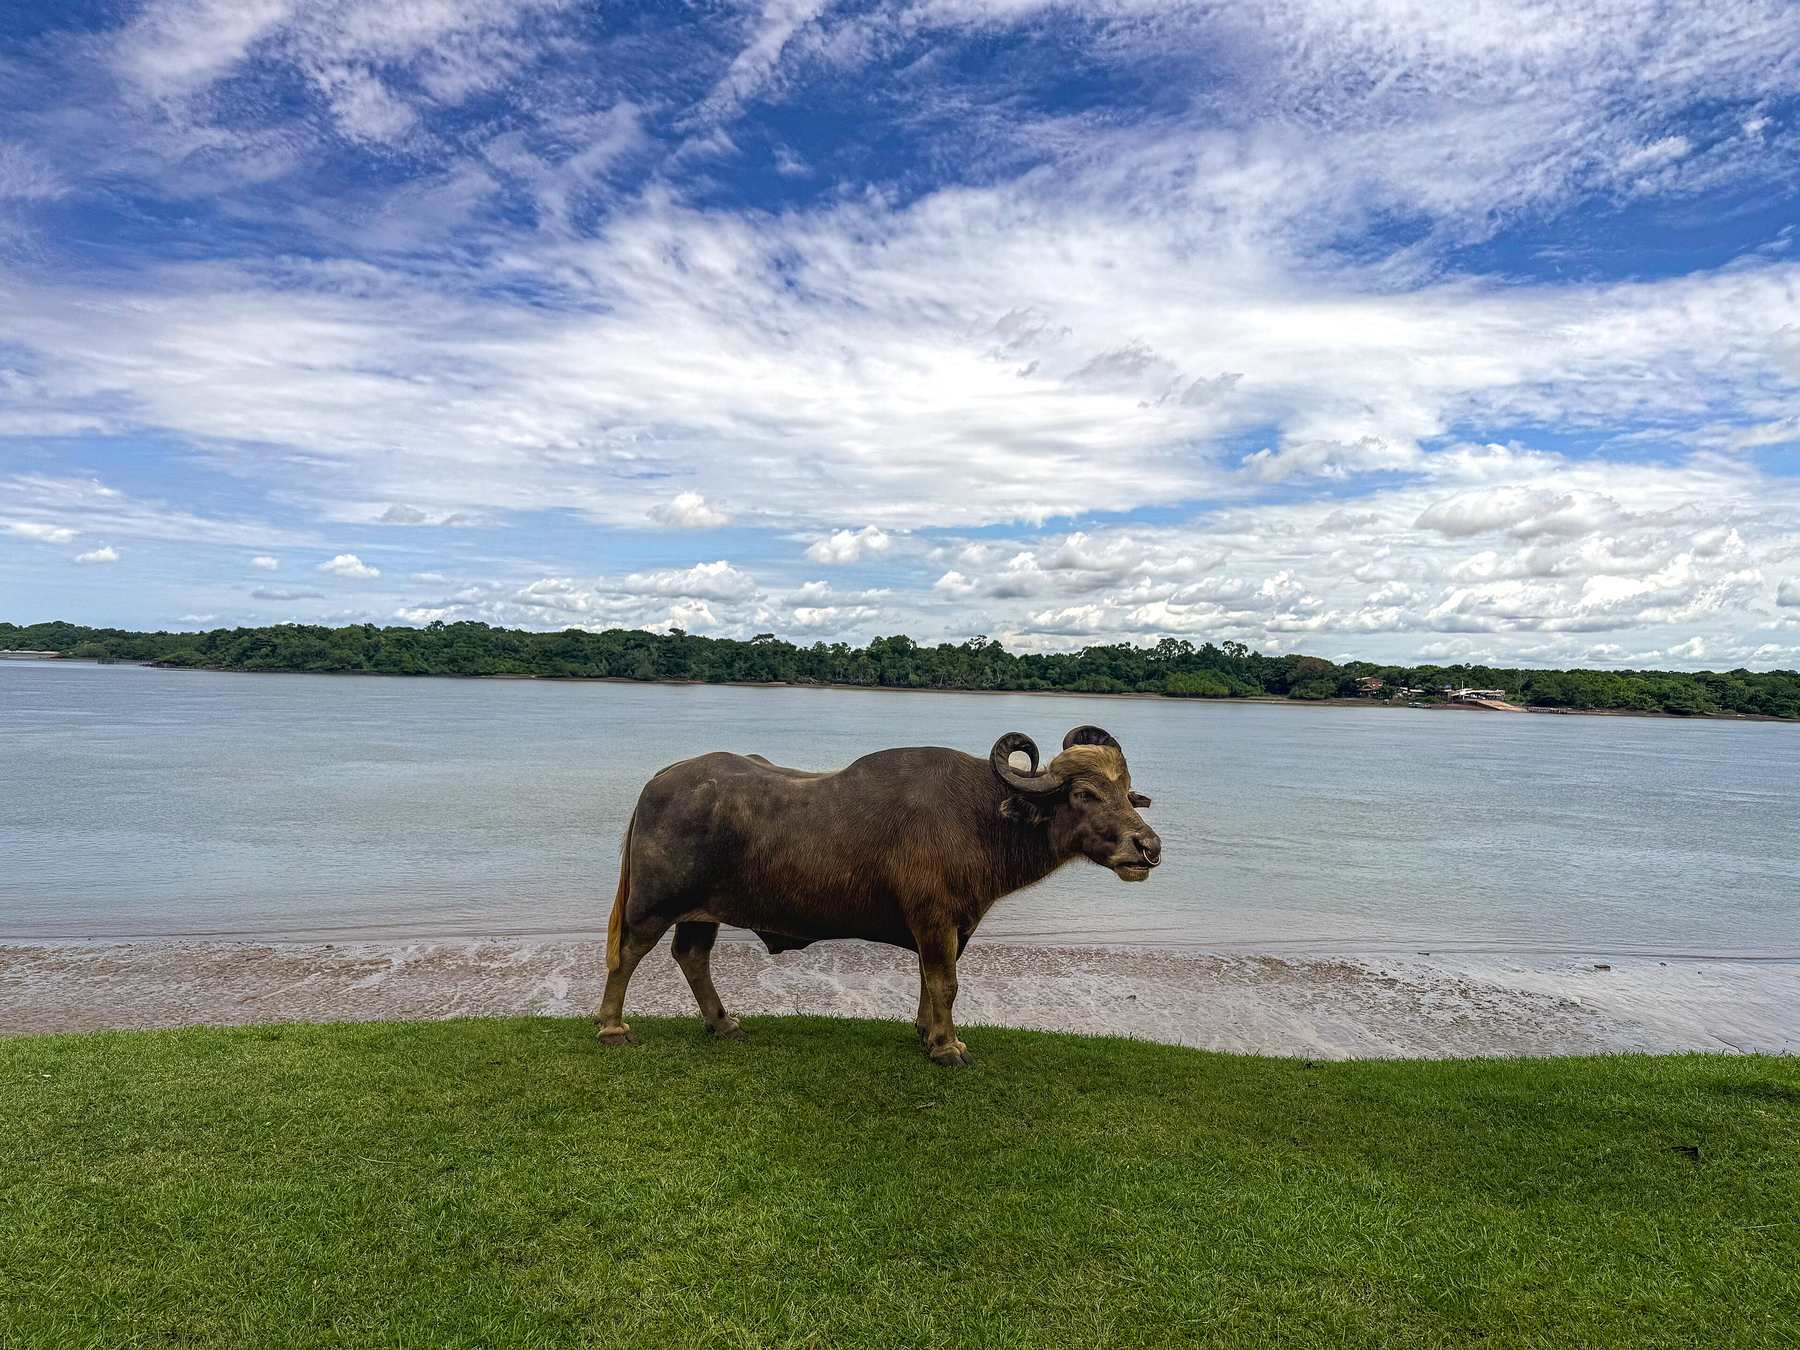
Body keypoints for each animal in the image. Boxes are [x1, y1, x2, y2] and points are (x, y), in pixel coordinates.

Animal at [596, 724, 1160, 1066]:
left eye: (1127, 793)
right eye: (1085, 794)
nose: (1148, 847)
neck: (982, 816)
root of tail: (661, 780)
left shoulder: (947, 926)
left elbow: (929, 980)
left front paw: (925, 1032)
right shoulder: (935, 919)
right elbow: (946, 983)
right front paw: (947, 1045)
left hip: (702, 911)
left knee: (692, 955)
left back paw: (723, 1022)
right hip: (654, 904)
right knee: (626, 956)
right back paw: (613, 1028)